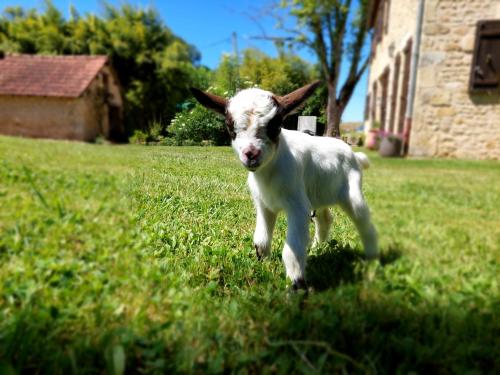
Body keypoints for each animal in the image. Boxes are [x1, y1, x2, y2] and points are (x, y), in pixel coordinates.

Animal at [191, 82, 378, 290]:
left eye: (276, 125)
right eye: (231, 127)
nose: (251, 154)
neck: (269, 172)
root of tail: (355, 155)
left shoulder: (297, 206)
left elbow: (292, 250)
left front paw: (297, 285)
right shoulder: (264, 204)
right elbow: (261, 240)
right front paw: (262, 264)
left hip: (352, 193)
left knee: (365, 224)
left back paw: (372, 259)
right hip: (319, 192)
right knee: (324, 219)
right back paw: (318, 247)